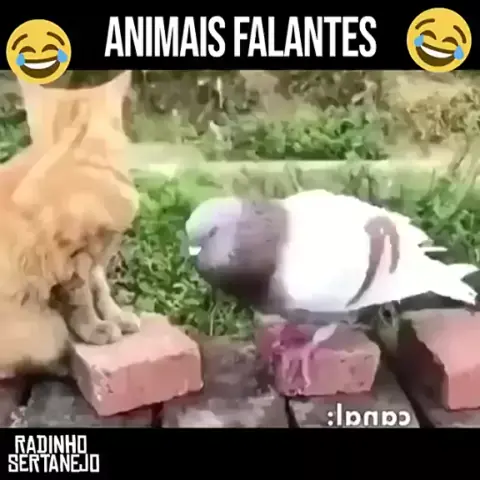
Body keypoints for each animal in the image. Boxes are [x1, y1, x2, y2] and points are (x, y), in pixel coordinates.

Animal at [0, 71, 140, 375]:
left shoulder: (94, 252)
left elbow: (100, 287)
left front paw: (117, 316)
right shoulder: (69, 257)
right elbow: (82, 297)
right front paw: (96, 328)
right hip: (45, 331)